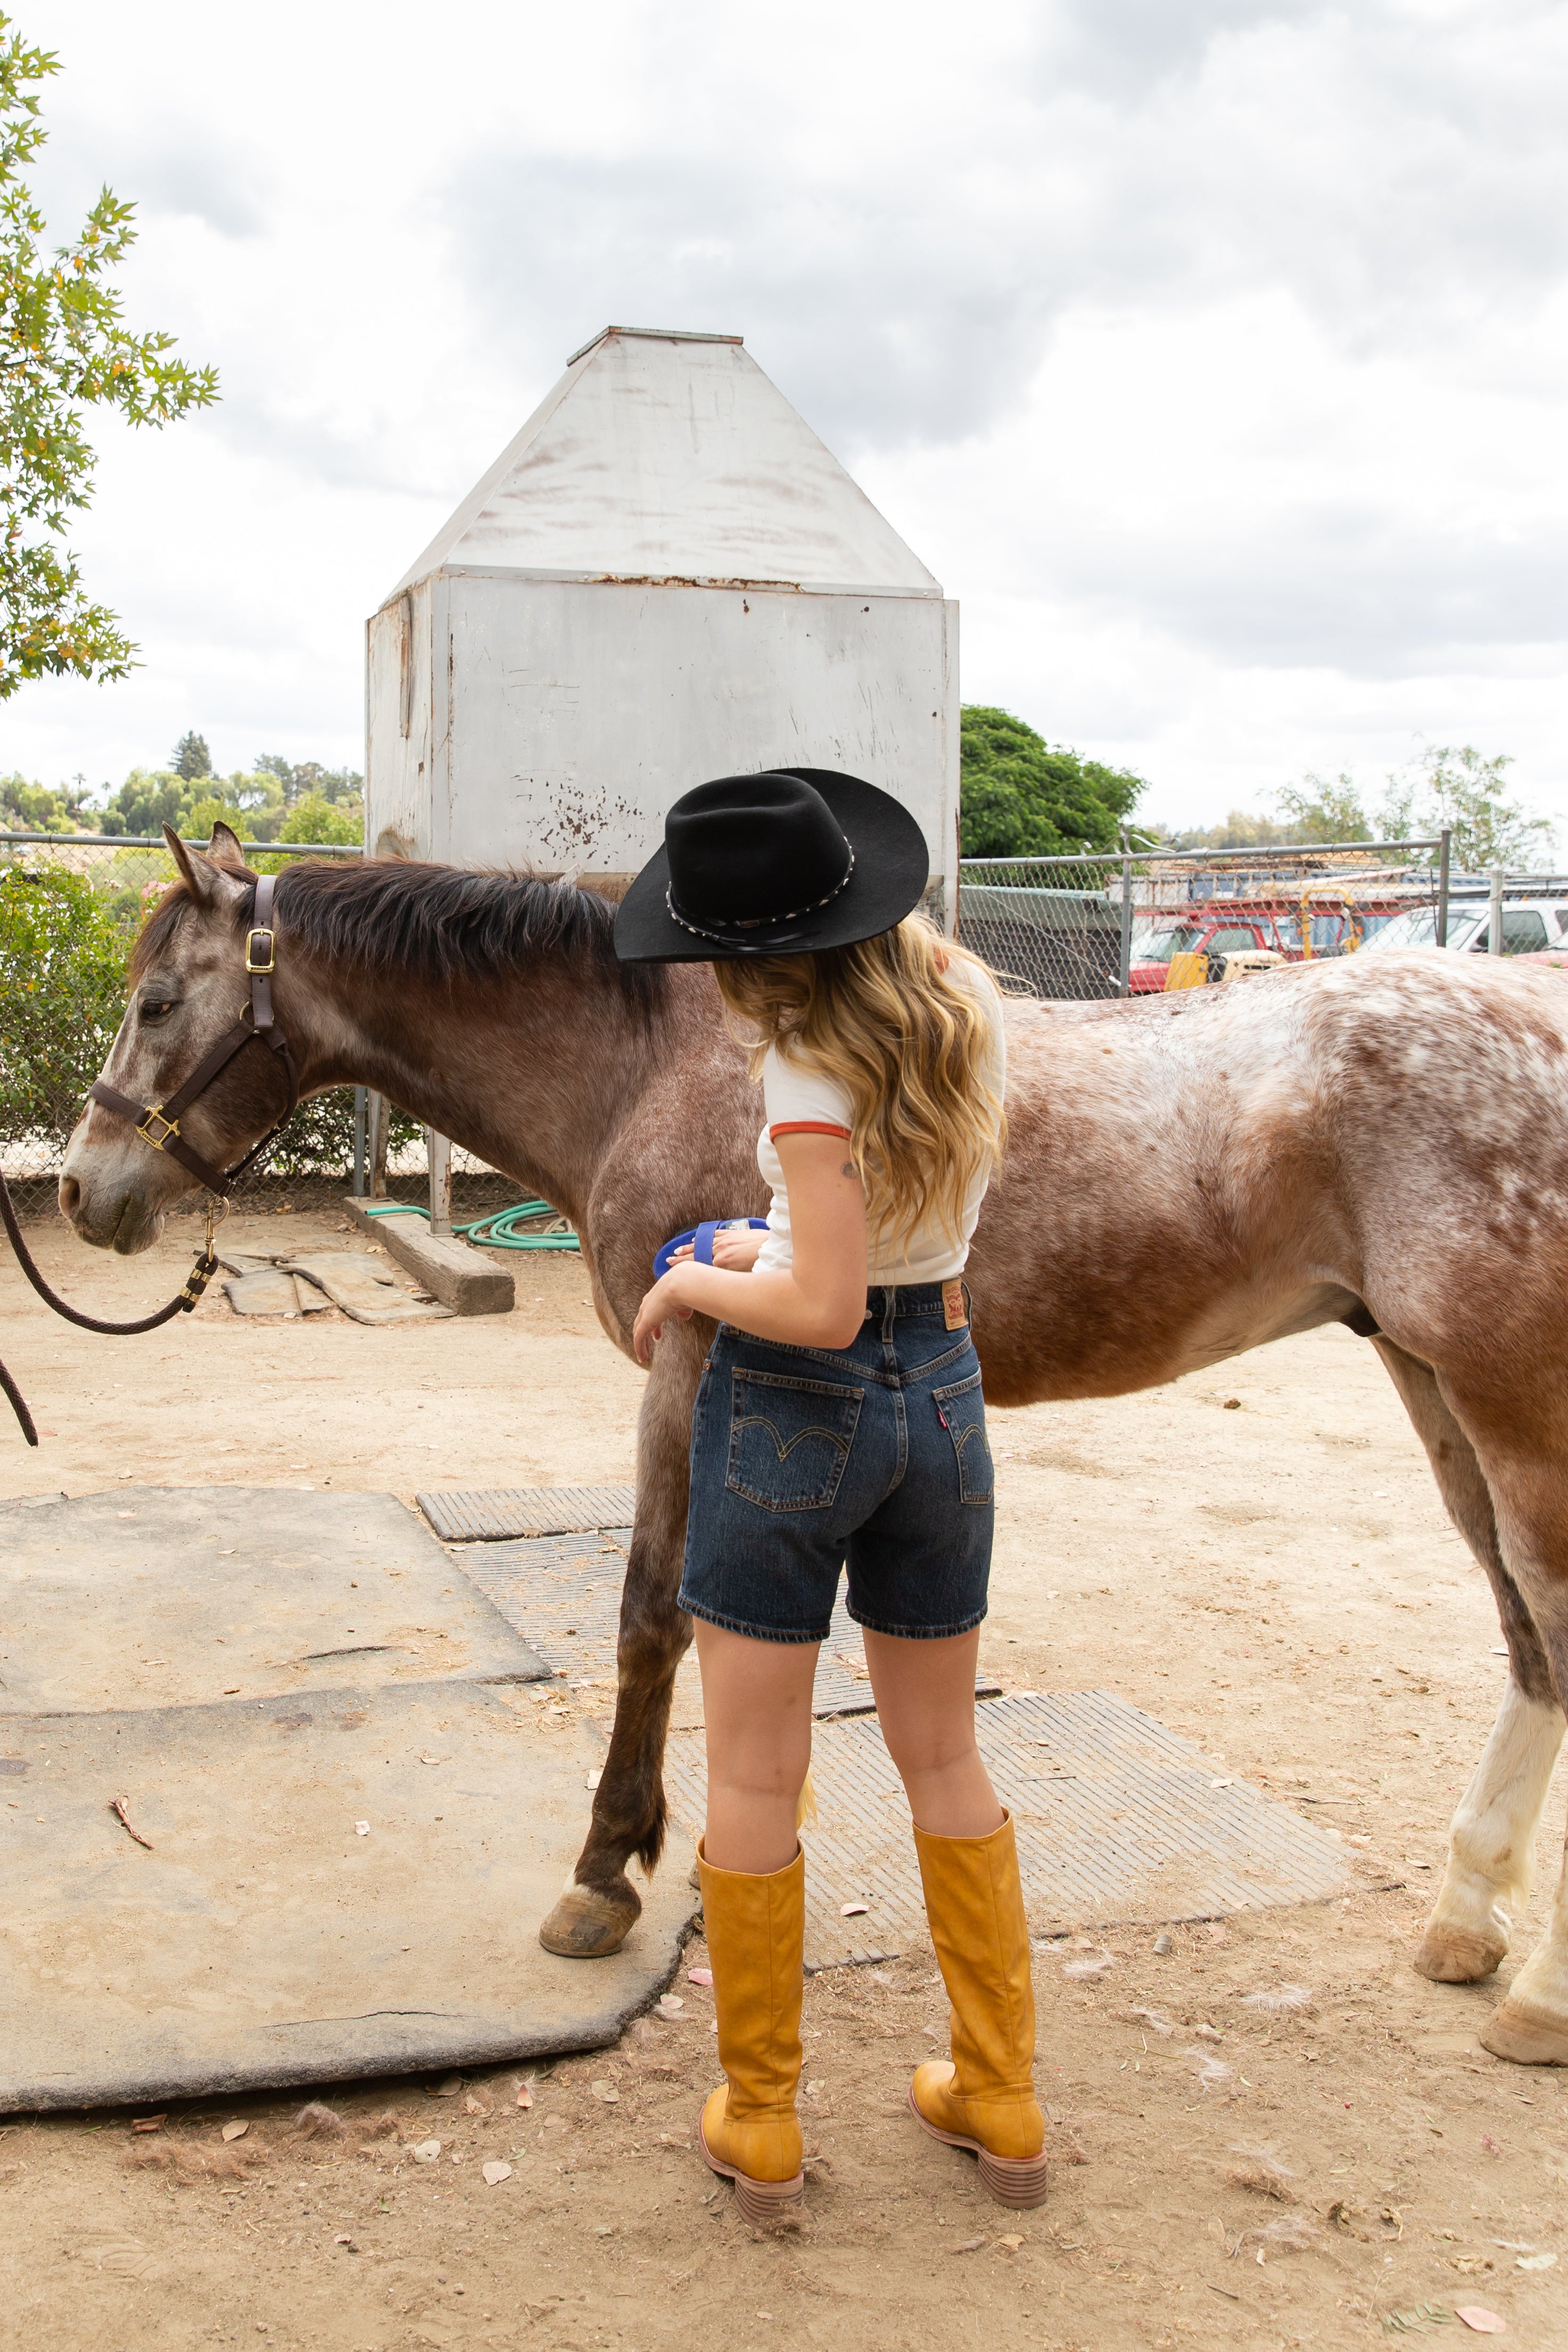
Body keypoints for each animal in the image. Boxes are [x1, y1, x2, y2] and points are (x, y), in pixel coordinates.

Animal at [55, 822, 1568, 2069]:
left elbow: (650, 1614)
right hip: (1434, 1390)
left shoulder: (690, 1363)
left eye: (155, 1002)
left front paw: (605, 1872)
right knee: (1524, 1646)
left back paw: (1535, 1998)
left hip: (1511, 1407)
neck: (653, 1059)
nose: (81, 1191)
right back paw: (1462, 1923)